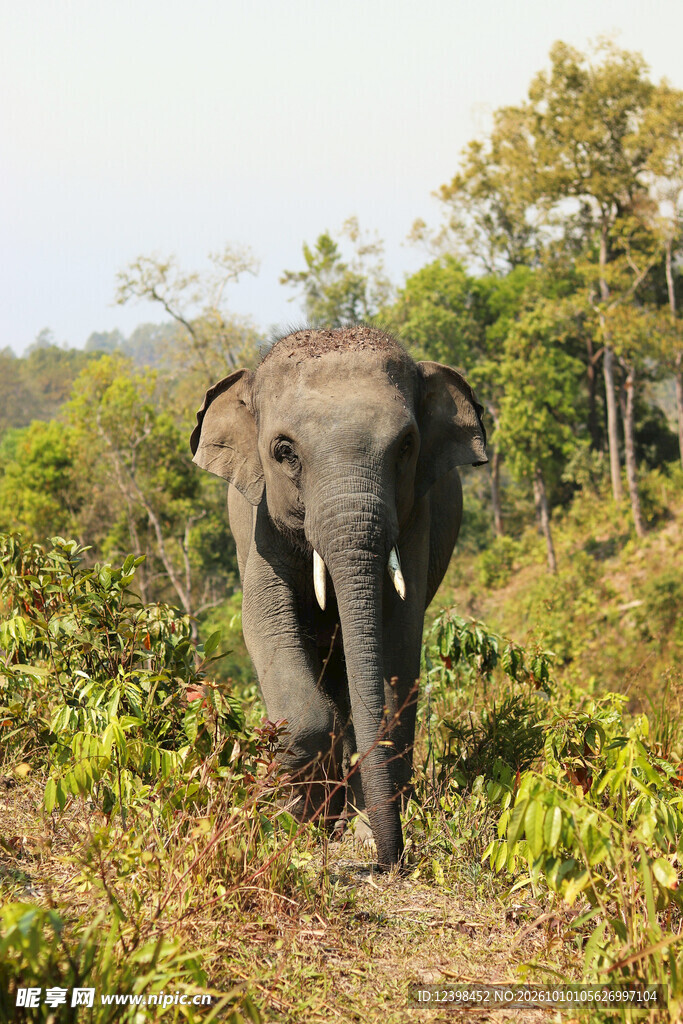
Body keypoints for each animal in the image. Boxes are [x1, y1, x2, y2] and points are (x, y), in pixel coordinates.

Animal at [190, 325, 487, 869]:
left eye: (407, 445)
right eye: (284, 452)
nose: (389, 863)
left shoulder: (416, 515)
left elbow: (397, 638)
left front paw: (364, 831)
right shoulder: (256, 519)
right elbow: (264, 621)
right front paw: (303, 825)